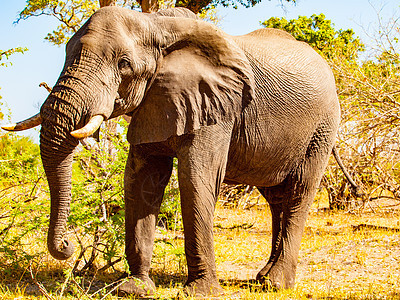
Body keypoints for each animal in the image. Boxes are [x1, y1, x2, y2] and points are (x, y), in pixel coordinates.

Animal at [3, 5, 340, 296]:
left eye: (124, 64)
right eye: (66, 54)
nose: (67, 246)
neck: (156, 25)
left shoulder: (217, 107)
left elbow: (196, 179)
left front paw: (199, 292)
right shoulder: (154, 102)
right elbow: (141, 181)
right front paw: (134, 289)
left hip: (322, 128)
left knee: (298, 192)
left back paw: (274, 284)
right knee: (276, 198)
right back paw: (262, 278)